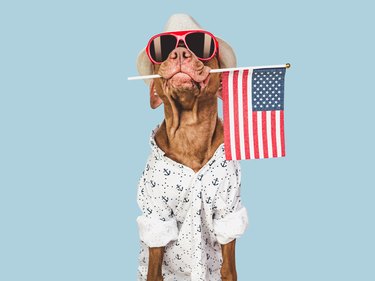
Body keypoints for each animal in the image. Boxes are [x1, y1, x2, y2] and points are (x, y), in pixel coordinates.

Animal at [136, 14, 250, 278]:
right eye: (163, 49)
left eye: (202, 46)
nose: (178, 53)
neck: (190, 131)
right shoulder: (156, 215)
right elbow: (154, 269)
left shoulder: (228, 209)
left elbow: (229, 268)